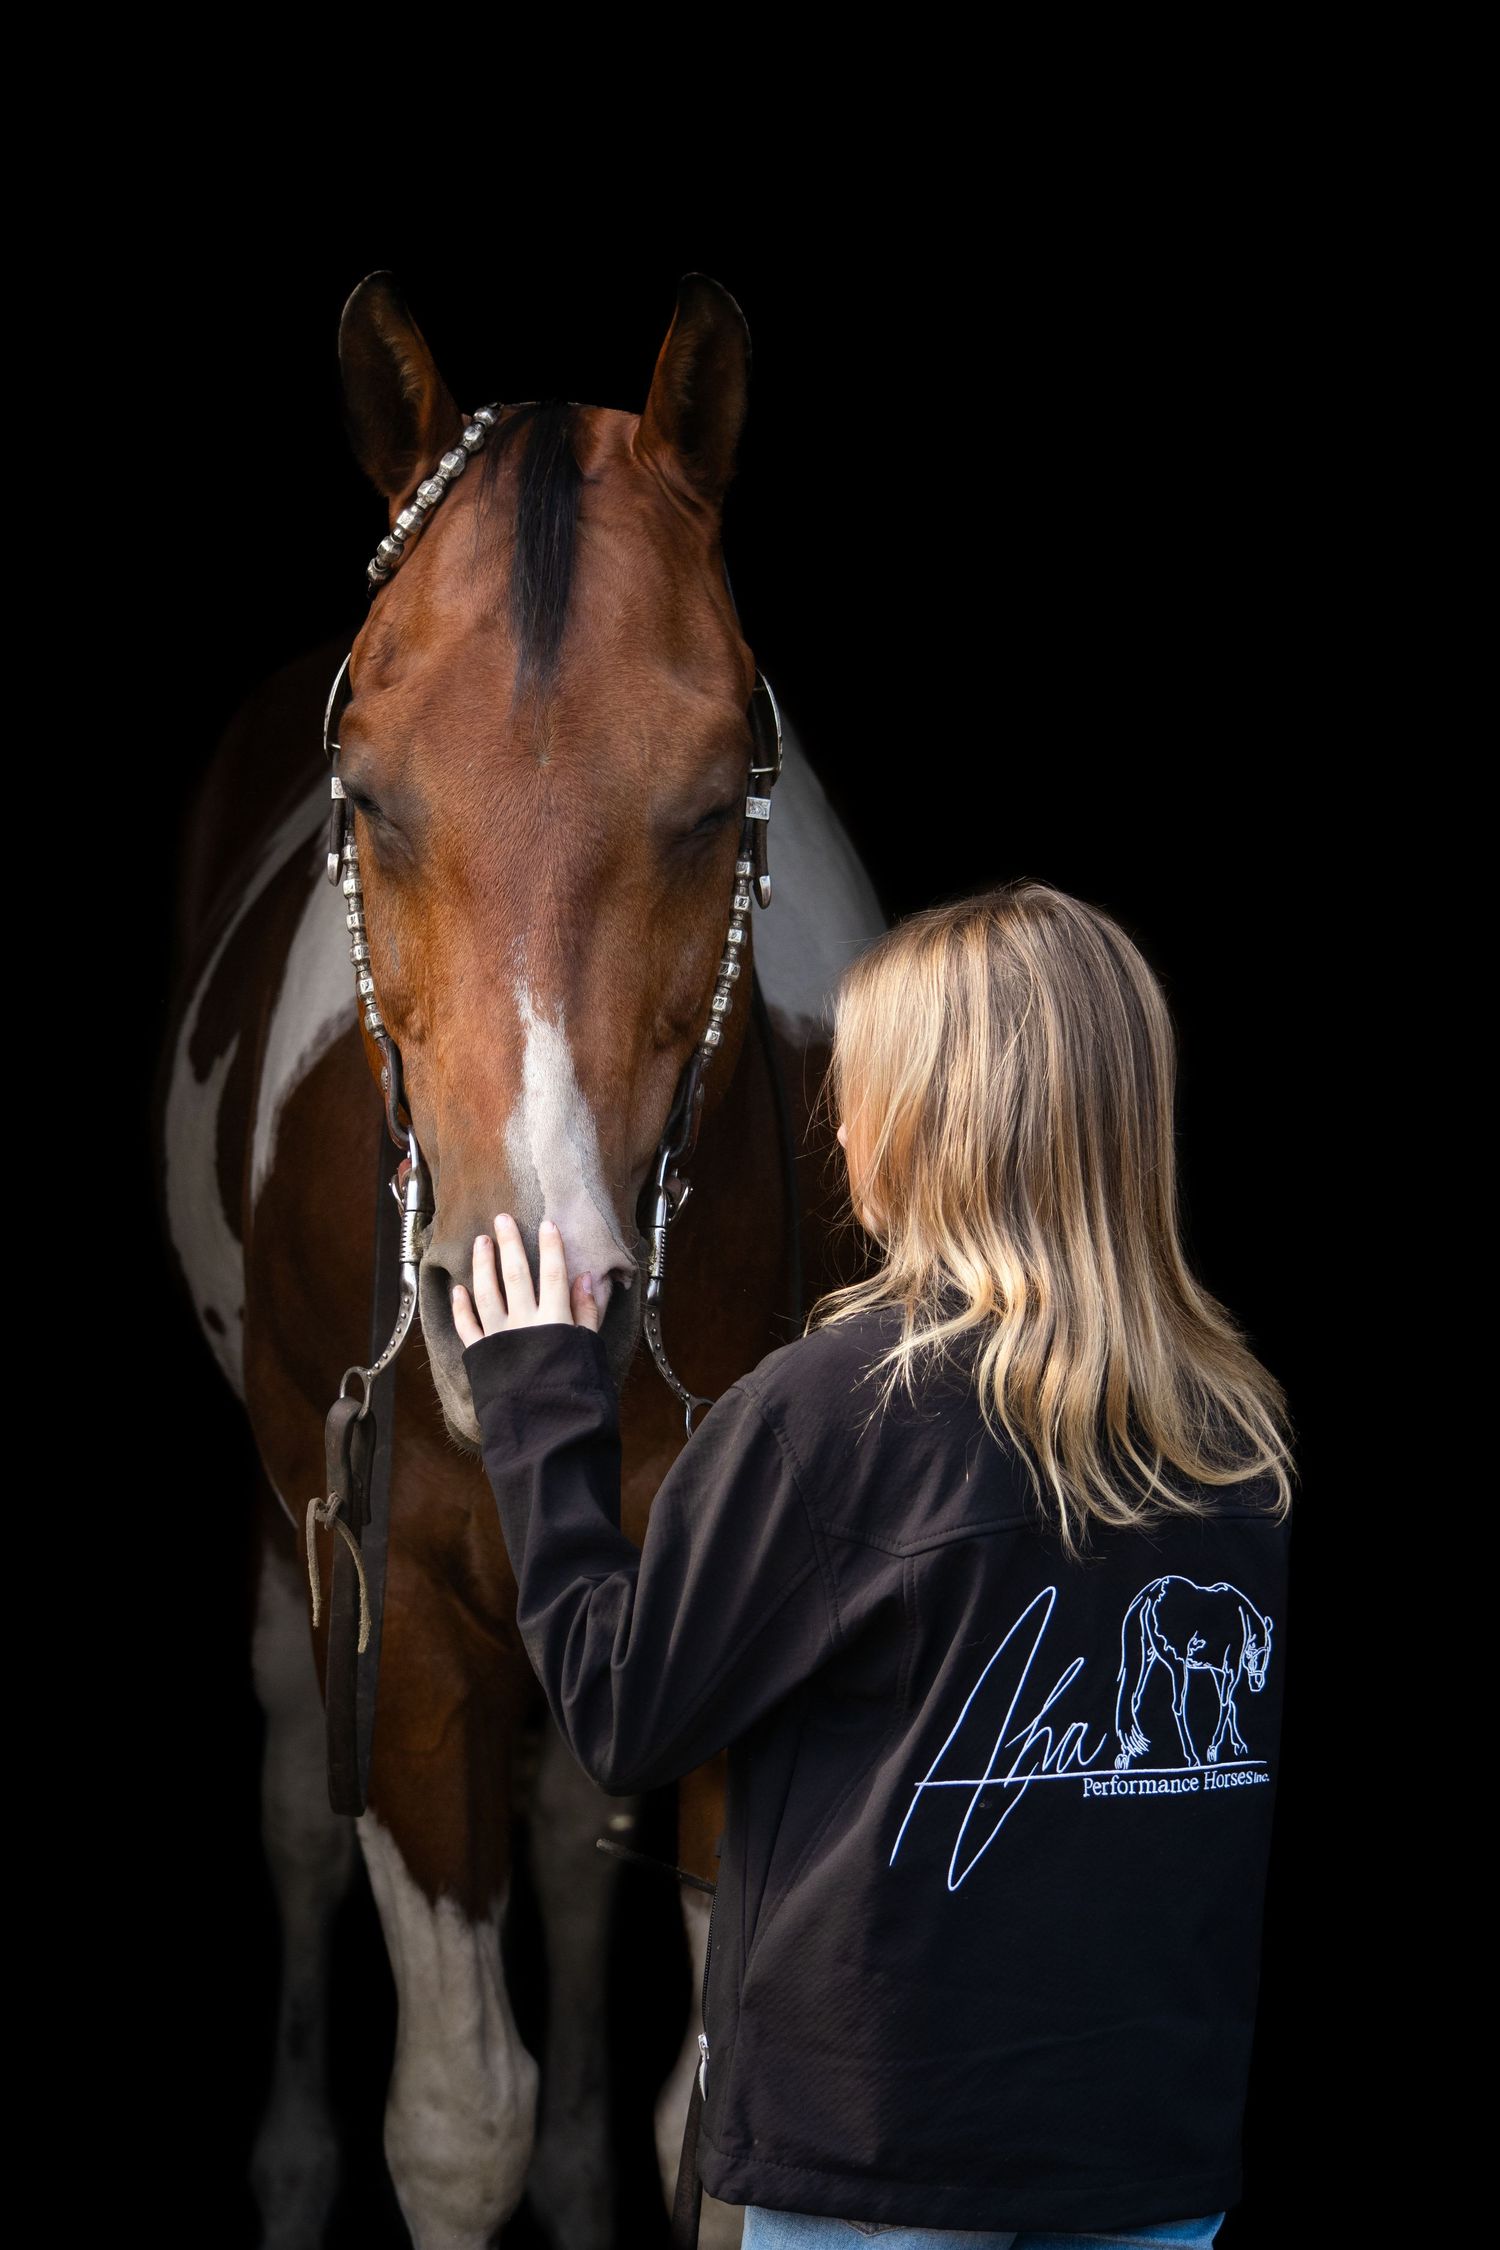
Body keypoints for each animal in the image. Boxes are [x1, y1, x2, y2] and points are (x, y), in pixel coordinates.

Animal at [154, 270, 885, 2250]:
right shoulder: (392, 1598)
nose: (519, 1309)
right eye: (366, 792)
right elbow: (452, 2116)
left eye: (713, 802)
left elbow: (715, 2120)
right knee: (288, 1809)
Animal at [1112, 1576, 1274, 1773]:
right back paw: (1192, 1757)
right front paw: (1213, 1747)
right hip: (1177, 1663)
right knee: (1178, 1705)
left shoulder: (1217, 1670)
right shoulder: (1231, 1668)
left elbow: (1229, 1704)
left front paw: (1238, 1744)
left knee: (1133, 1699)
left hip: (1147, 1657)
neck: (1241, 1614)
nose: (1258, 1683)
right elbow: (1226, 1704)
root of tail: (1152, 1593)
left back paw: (1126, 1755)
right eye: (1263, 1651)